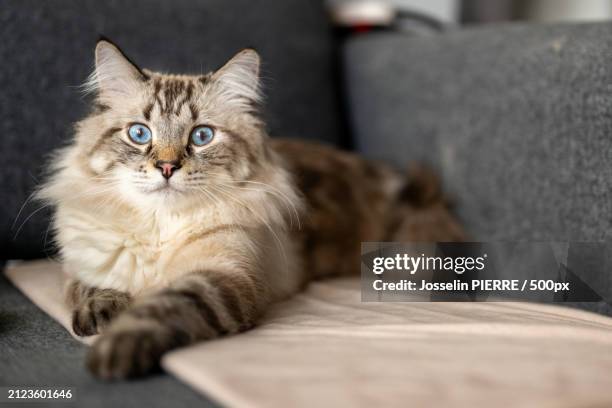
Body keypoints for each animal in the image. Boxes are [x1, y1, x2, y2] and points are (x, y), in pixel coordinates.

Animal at [37, 39, 464, 380]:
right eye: (139, 133)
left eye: (201, 136)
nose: (167, 167)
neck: (162, 226)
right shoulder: (86, 262)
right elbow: (92, 287)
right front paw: (102, 315)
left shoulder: (223, 275)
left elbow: (167, 304)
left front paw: (118, 346)